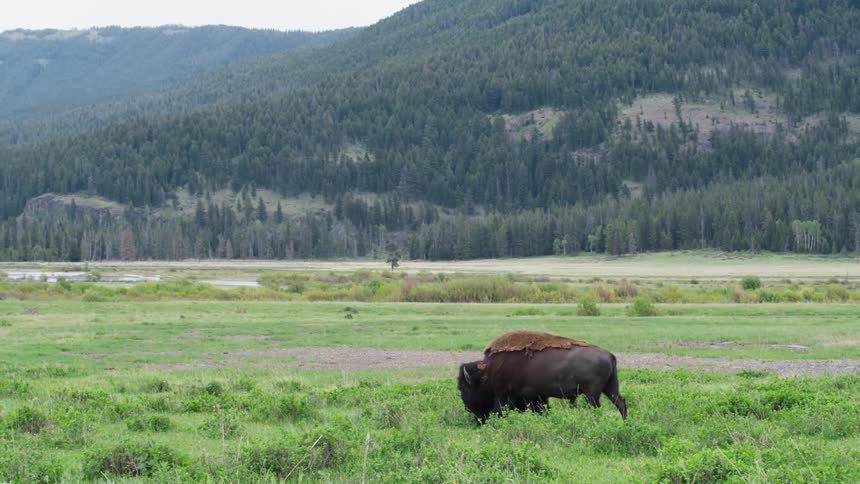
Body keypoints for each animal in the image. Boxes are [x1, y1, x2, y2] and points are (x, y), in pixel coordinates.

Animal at [458, 330, 627, 422]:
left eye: (464, 388)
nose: (469, 410)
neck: (489, 371)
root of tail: (609, 355)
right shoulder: (537, 397)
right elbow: (543, 410)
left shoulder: (504, 396)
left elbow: (498, 410)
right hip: (609, 388)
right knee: (621, 402)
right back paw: (625, 422)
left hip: (591, 394)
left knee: (598, 407)